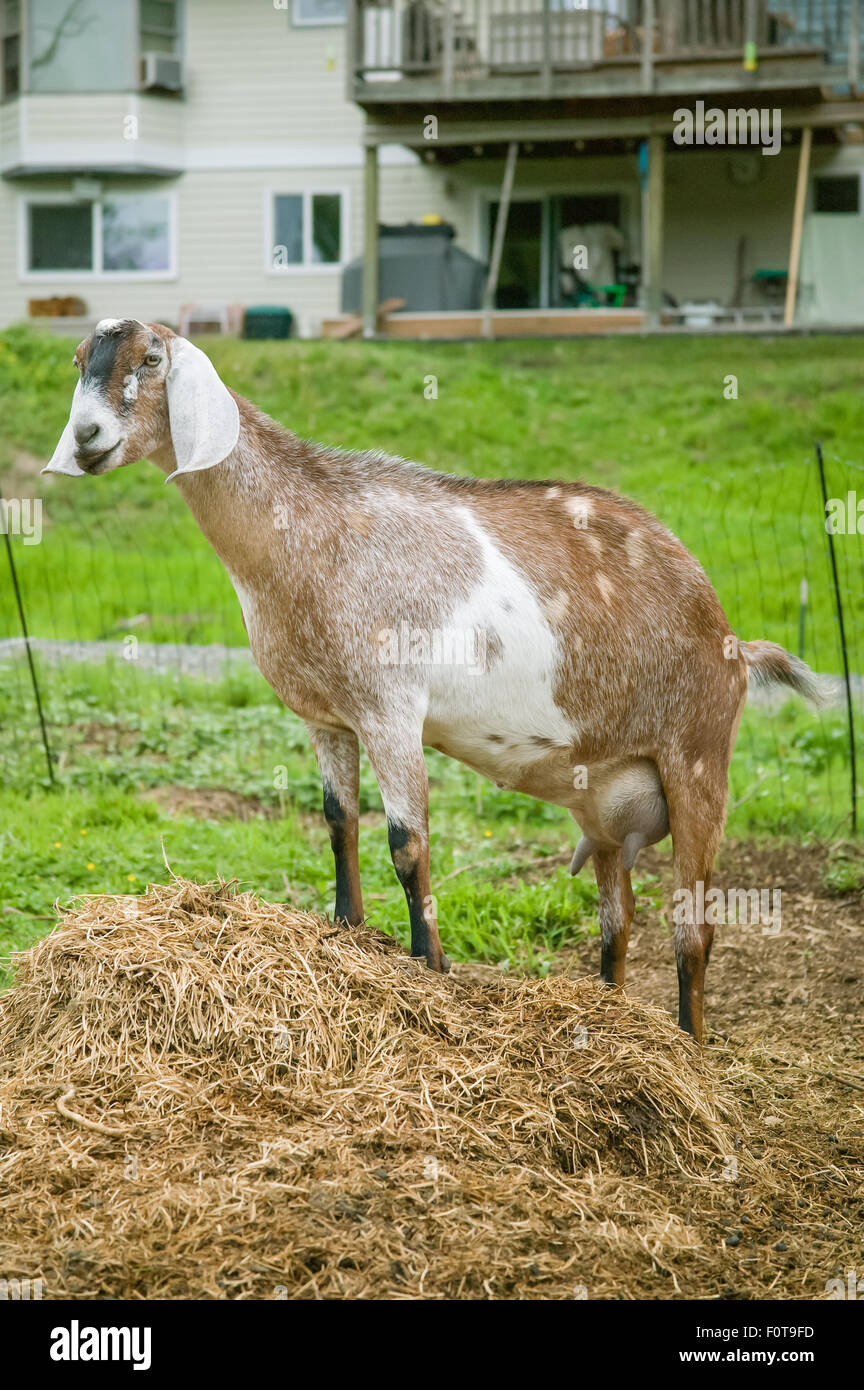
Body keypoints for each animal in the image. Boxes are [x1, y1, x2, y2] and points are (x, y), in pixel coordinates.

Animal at [44, 319, 827, 1039]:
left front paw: (430, 968)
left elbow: (407, 843)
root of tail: (732, 638)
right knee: (619, 919)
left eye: (152, 359)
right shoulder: (327, 715)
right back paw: (611, 1014)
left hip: (698, 757)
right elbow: (339, 822)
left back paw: (690, 1047)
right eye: (80, 361)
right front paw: (346, 931)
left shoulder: (391, 707)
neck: (308, 530)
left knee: (695, 930)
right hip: (607, 804)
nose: (86, 437)